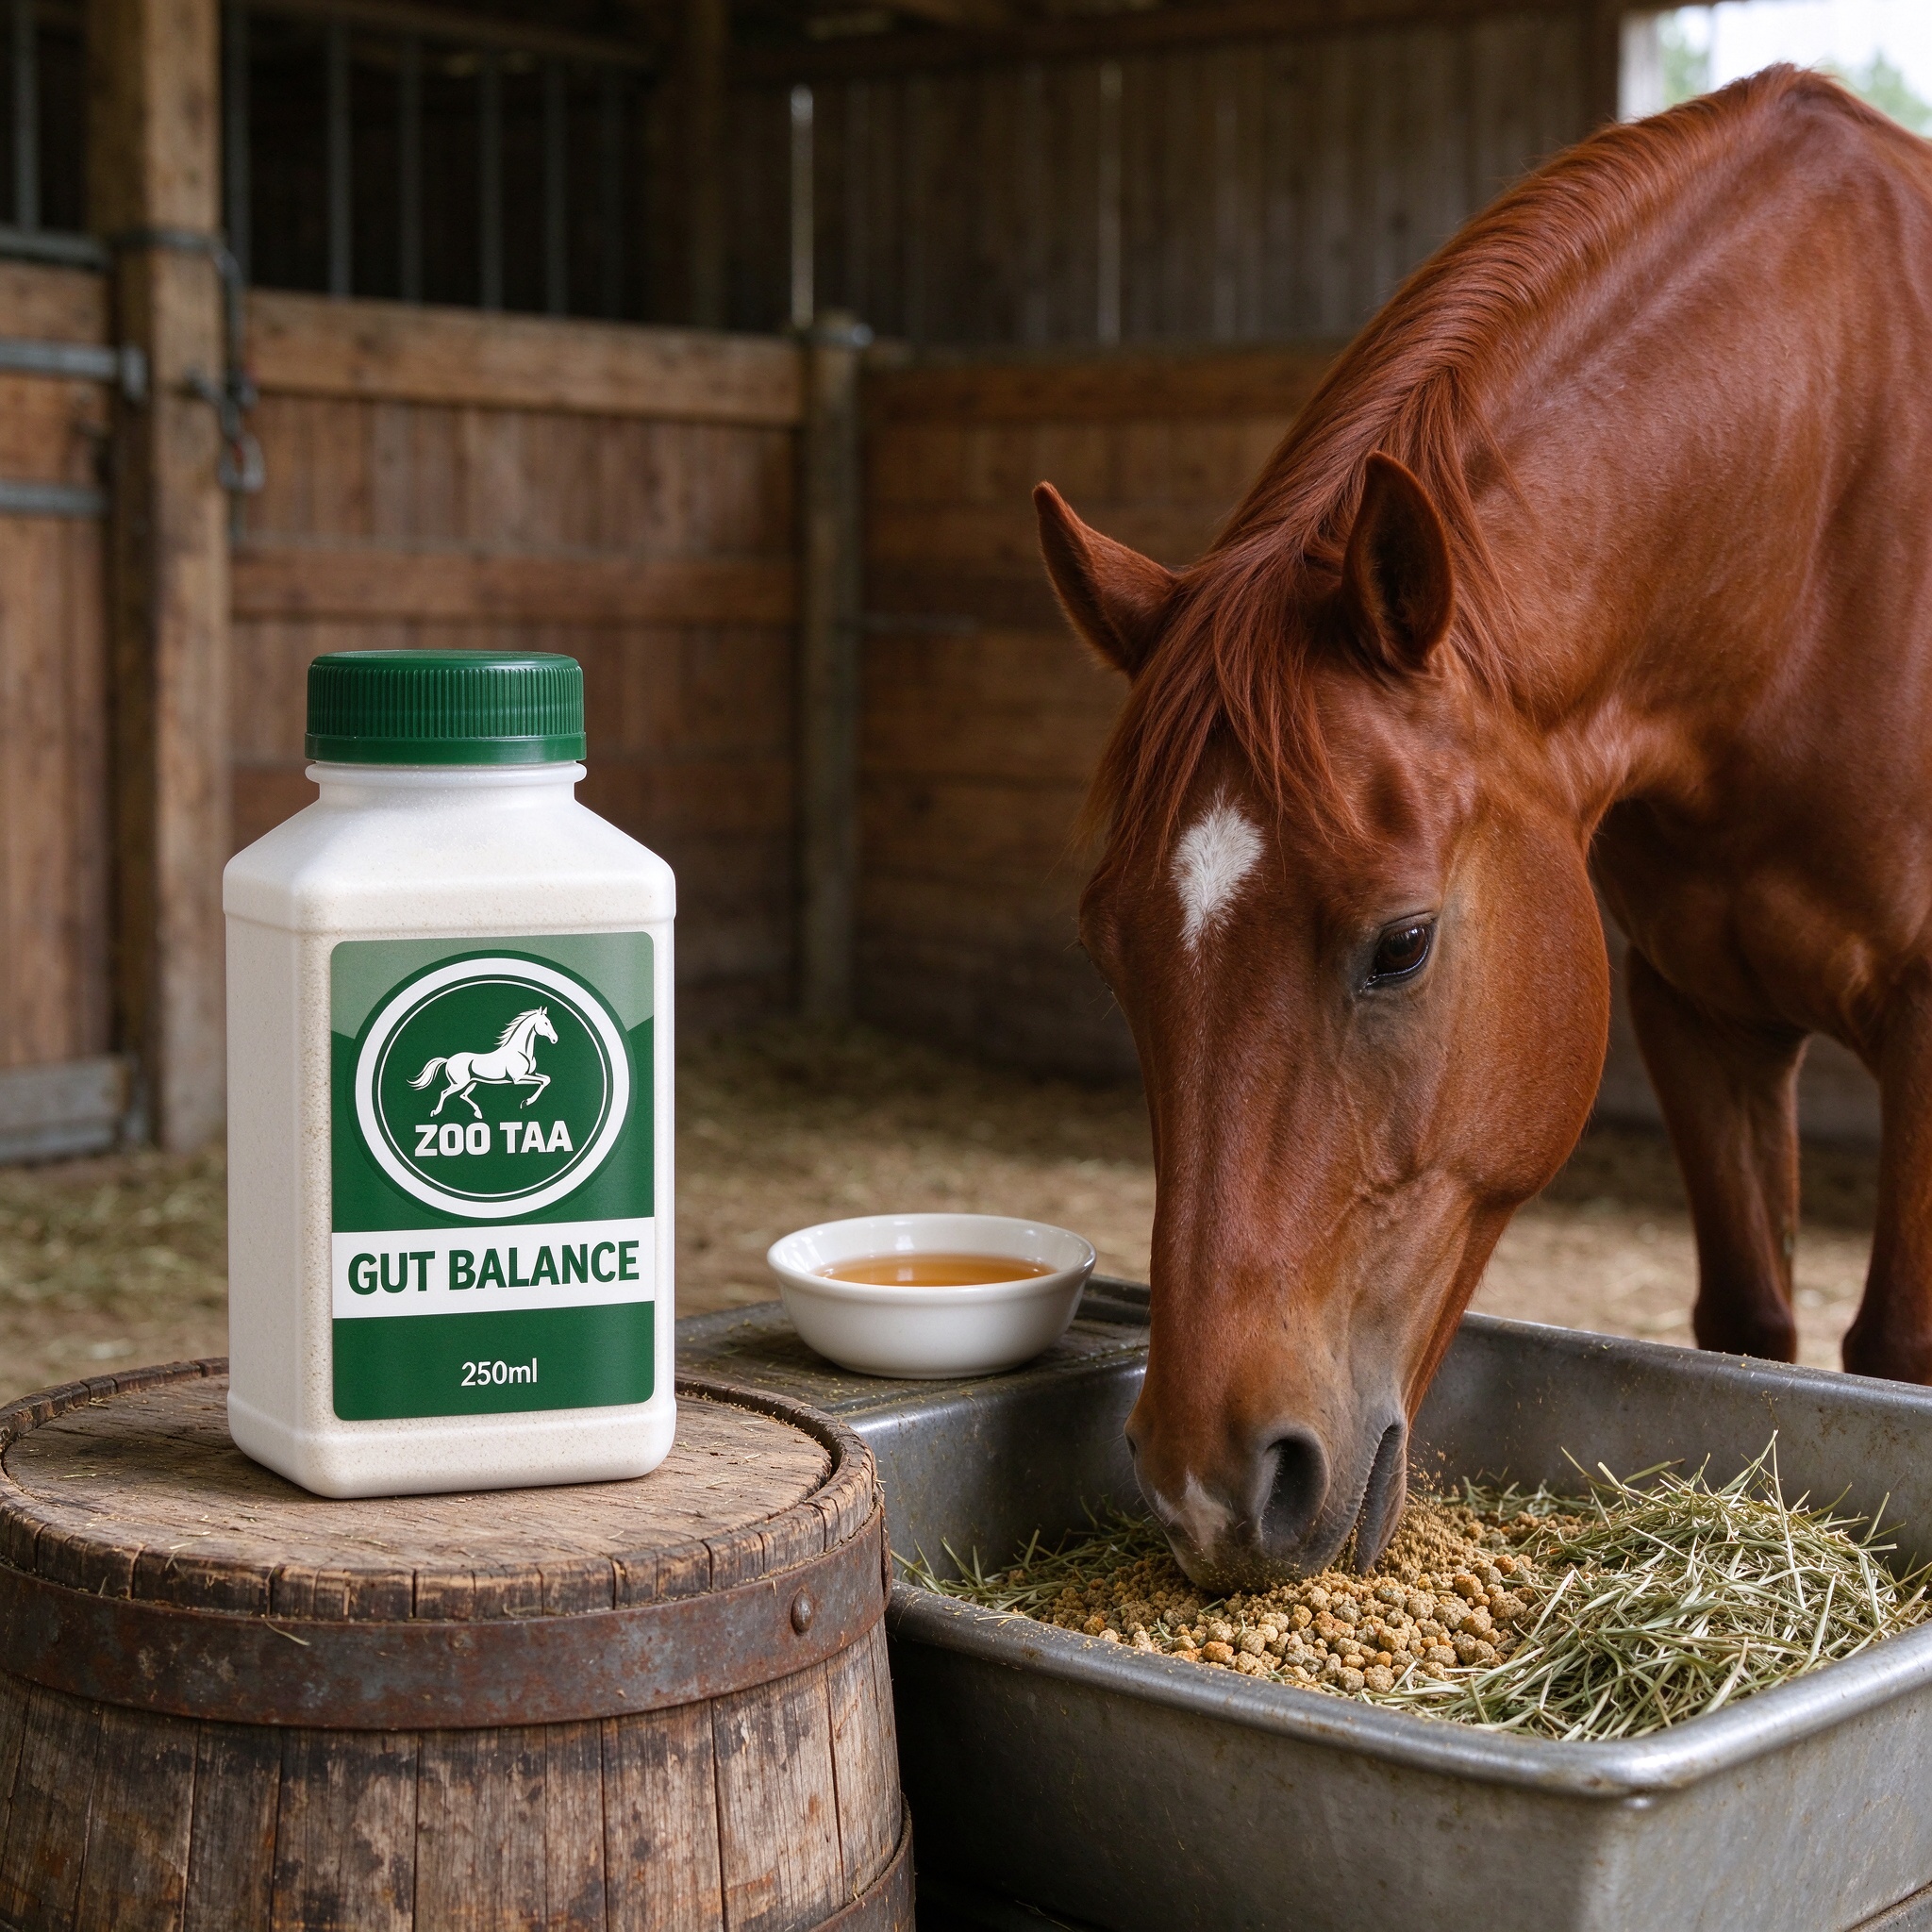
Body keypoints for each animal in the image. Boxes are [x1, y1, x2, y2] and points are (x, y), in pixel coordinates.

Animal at [409, 1008, 558, 1120]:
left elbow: (547, 1079)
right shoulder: (518, 1079)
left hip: (472, 1082)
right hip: (459, 1083)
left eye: (549, 1022)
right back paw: (436, 1112)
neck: (520, 1051)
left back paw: (478, 1113)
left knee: (463, 1095)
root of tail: (448, 1060)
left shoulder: (531, 1073)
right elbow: (543, 1081)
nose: (555, 1039)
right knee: (444, 1093)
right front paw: (526, 1102)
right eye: (545, 1023)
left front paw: (526, 1102)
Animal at [1034, 68, 1932, 1591]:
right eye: (1111, 952)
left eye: (1400, 944)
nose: (1212, 1487)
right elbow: (1752, 1332)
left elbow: (1894, 1349)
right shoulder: (1699, 1010)